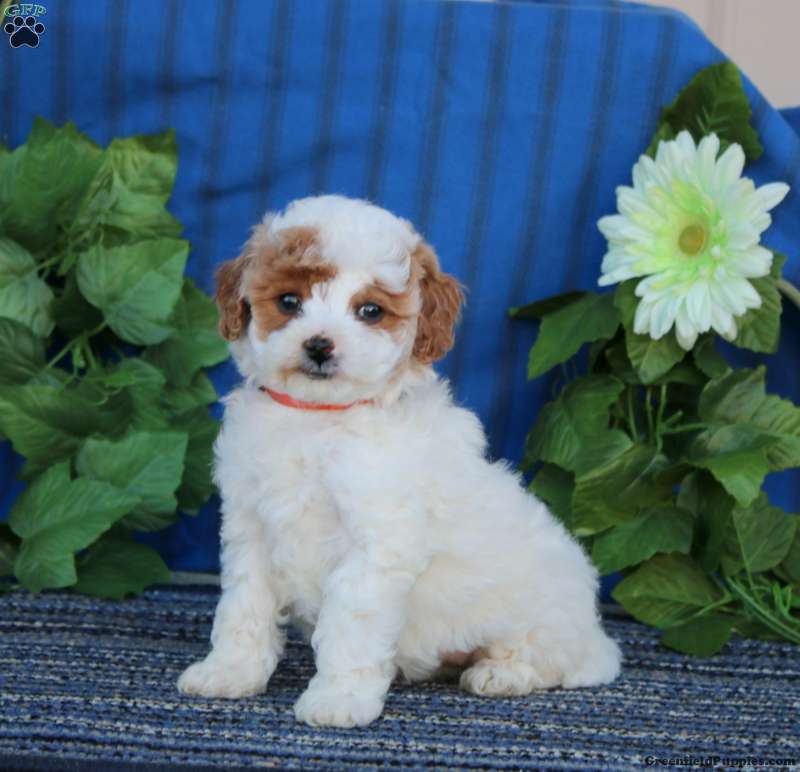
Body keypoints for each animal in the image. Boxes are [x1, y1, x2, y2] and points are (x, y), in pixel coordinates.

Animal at [177, 195, 621, 728]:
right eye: (288, 302)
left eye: (370, 311)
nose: (319, 345)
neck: (318, 420)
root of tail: (596, 635)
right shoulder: (251, 531)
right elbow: (244, 608)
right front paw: (229, 673)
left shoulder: (376, 545)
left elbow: (351, 625)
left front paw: (338, 700)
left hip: (545, 618)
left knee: (555, 660)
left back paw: (500, 673)